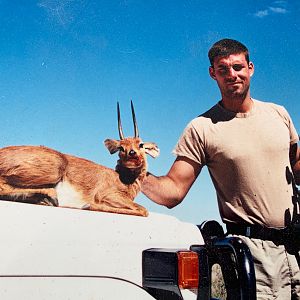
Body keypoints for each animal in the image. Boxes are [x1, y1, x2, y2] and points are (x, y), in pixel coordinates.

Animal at [0, 102, 159, 217]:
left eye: (141, 144)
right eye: (121, 147)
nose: (132, 154)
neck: (123, 179)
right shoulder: (109, 195)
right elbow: (144, 210)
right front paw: (89, 205)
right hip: (54, 170)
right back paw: (48, 197)